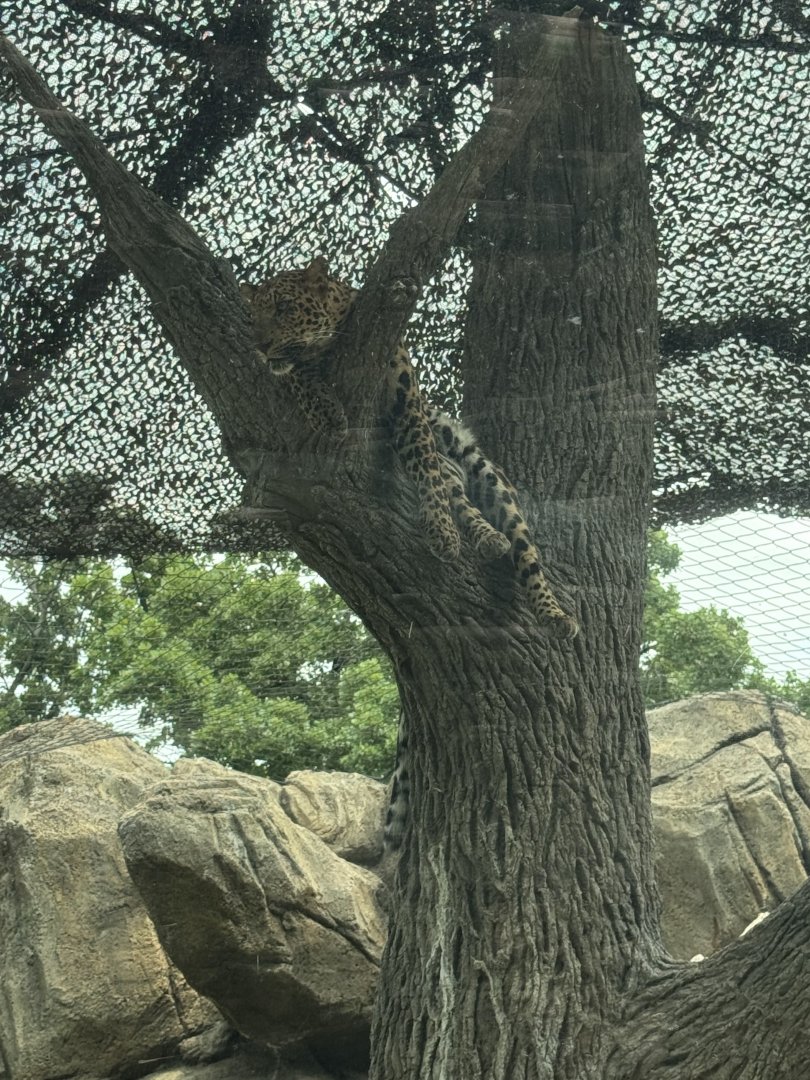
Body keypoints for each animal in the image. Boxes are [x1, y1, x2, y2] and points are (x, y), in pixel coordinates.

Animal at [239, 255, 578, 641]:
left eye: (283, 307)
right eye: (254, 317)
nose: (259, 346)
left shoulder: (408, 405)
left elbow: (426, 473)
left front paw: (441, 533)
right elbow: (297, 374)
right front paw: (326, 412)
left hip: (488, 475)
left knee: (525, 550)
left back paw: (552, 611)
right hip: (454, 471)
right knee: (461, 500)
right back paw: (488, 537)